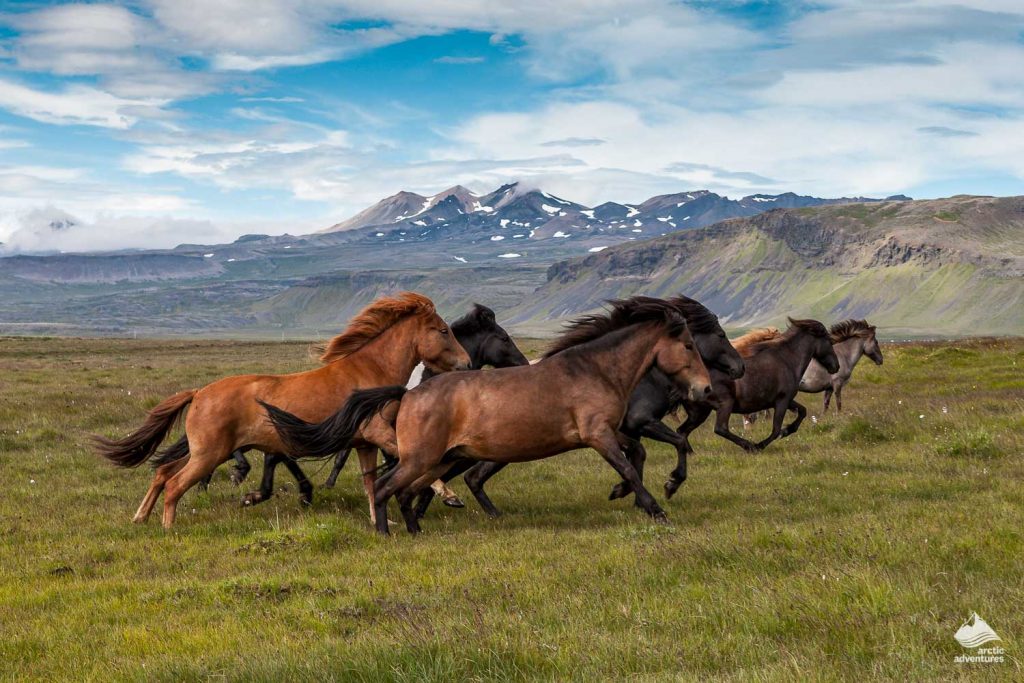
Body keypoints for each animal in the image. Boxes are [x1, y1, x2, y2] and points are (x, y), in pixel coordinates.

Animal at [92, 292, 470, 529]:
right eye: (443, 330)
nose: (467, 363)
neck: (369, 372)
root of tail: (199, 392)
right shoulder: (378, 432)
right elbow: (416, 461)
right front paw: (450, 496)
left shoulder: (364, 443)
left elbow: (369, 482)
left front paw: (383, 520)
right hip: (209, 454)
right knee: (174, 484)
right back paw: (168, 527)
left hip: (206, 451)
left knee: (162, 472)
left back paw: (141, 518)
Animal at [262, 296, 713, 535]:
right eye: (689, 345)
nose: (706, 390)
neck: (594, 369)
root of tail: (408, 394)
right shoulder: (597, 434)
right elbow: (632, 465)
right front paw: (657, 505)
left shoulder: (609, 432)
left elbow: (643, 454)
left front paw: (639, 492)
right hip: (423, 458)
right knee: (387, 486)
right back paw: (386, 532)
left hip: (443, 458)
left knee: (410, 490)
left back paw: (416, 530)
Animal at [452, 295, 745, 518]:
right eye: (720, 335)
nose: (740, 368)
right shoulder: (637, 423)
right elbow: (671, 445)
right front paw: (667, 487)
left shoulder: (624, 430)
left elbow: (638, 456)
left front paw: (628, 494)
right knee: (471, 476)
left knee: (473, 476)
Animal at [677, 318, 840, 455]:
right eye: (828, 340)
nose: (836, 366)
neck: (787, 360)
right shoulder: (782, 401)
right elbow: (776, 430)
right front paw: (760, 445)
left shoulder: (785, 400)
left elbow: (802, 411)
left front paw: (788, 430)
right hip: (725, 404)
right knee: (720, 428)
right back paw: (749, 446)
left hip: (699, 412)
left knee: (682, 431)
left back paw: (691, 454)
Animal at [742, 319, 882, 427]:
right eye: (876, 342)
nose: (881, 360)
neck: (844, 355)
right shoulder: (837, 384)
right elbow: (839, 402)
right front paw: (839, 416)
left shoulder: (829, 388)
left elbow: (826, 404)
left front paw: (822, 418)